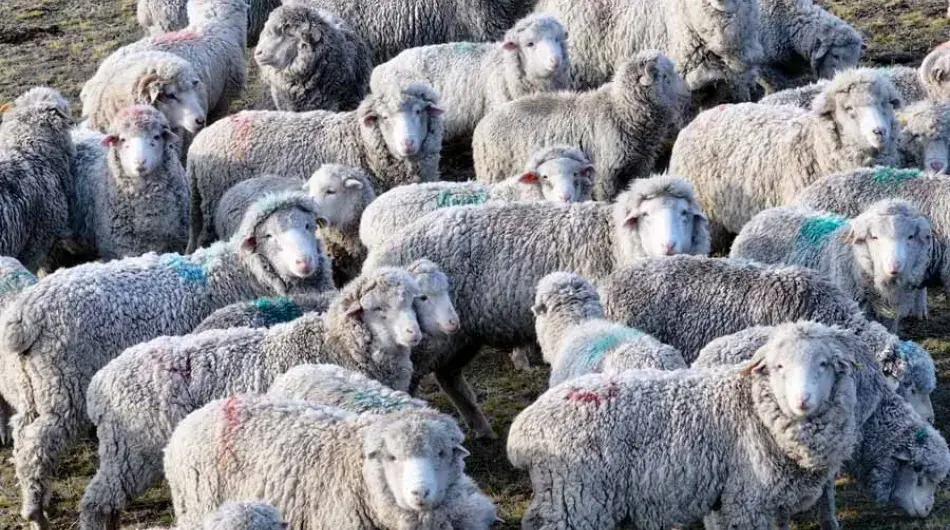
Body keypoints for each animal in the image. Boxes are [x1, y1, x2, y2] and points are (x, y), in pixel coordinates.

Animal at [1, 192, 333, 528]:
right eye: (269, 236)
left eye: (309, 225)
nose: (305, 263)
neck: (240, 272)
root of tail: (25, 313)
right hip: (62, 390)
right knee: (36, 444)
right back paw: (35, 512)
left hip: (33, 389)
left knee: (22, 433)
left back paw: (41, 500)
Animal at [67, 105, 189, 261]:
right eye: (122, 139)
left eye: (156, 136)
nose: (140, 162)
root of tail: (77, 132)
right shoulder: (120, 249)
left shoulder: (175, 244)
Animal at [473, 51, 689, 200]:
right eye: (665, 77)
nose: (688, 92)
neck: (620, 109)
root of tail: (481, 125)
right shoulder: (606, 174)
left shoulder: (636, 167)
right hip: (494, 172)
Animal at [508, 321, 860, 529]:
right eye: (779, 366)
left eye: (824, 364)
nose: (803, 401)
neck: (753, 409)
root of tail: (523, 430)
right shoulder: (748, 500)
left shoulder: (773, 503)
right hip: (578, 500)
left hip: (557, 494)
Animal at [693, 325, 949, 527]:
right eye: (917, 471)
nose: (927, 510)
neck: (872, 417)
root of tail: (706, 356)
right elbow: (826, 491)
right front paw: (829, 521)